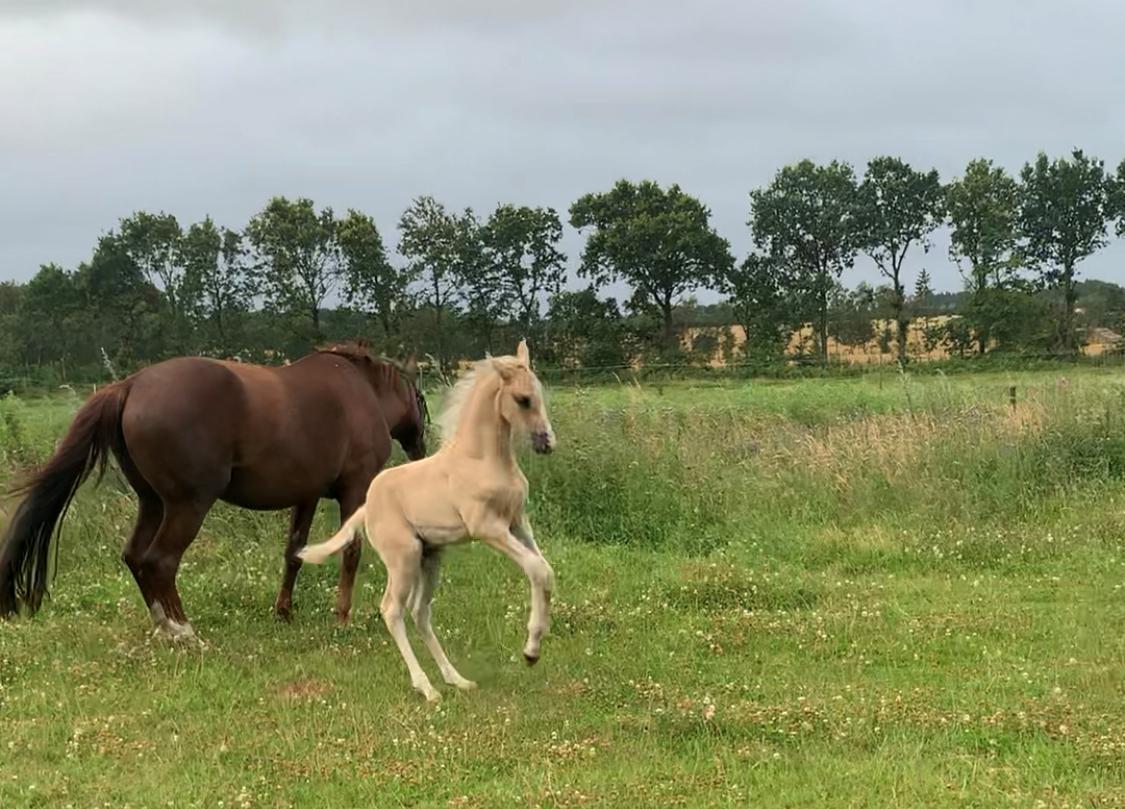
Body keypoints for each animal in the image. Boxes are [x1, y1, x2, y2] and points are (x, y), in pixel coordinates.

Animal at [0, 342, 427, 639]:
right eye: (421, 398)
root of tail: (130, 384)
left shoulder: (304, 496)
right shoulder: (355, 491)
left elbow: (294, 553)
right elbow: (351, 552)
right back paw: (185, 632)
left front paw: (284, 612)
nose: (421, 450)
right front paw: (342, 616)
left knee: (135, 556)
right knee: (159, 561)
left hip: (153, 504)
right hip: (187, 506)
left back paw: (165, 628)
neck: (360, 392)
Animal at [299, 337, 558, 697]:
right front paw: (531, 651)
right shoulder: (488, 528)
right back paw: (427, 688)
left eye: (539, 392)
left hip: (431, 556)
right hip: (404, 557)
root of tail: (366, 507)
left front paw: (534, 649)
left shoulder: (518, 523)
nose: (547, 443)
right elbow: (537, 569)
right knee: (392, 610)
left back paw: (456, 679)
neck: (481, 458)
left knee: (420, 612)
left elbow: (546, 571)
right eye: (522, 399)